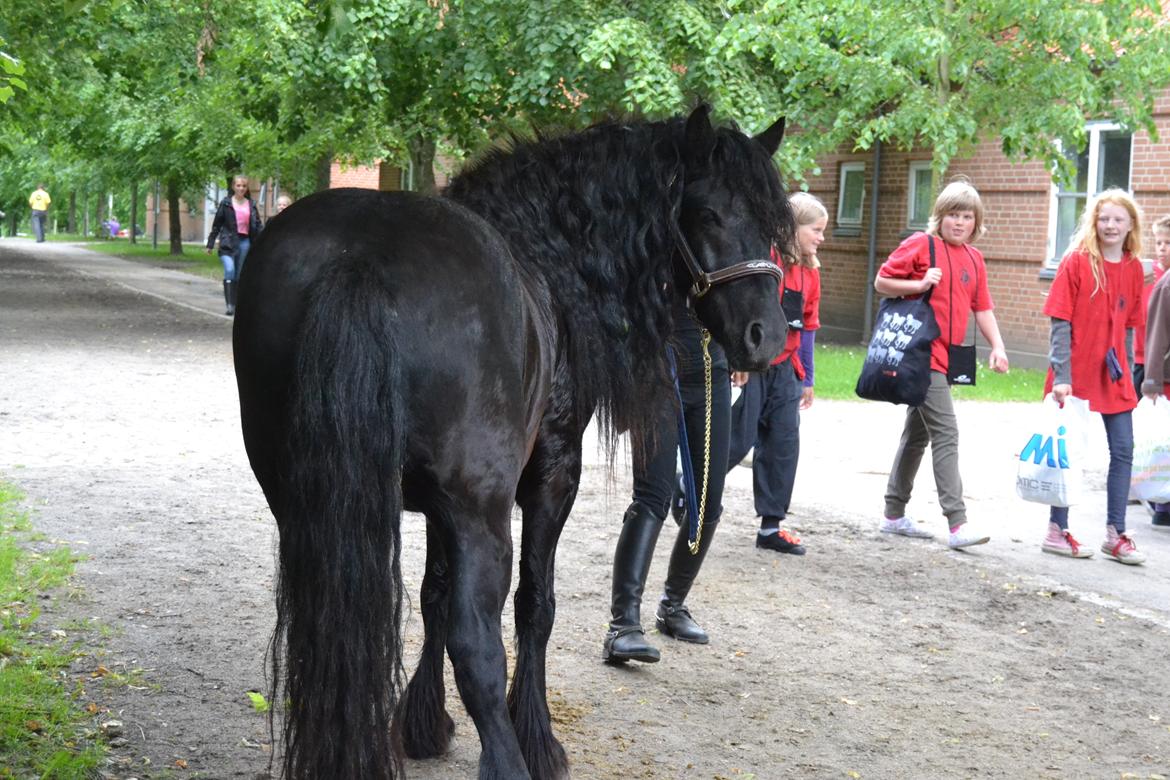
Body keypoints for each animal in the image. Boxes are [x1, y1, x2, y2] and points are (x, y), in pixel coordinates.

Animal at [232, 104, 794, 779]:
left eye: (770, 223)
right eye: (707, 212)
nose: (767, 337)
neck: (546, 256)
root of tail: (359, 256)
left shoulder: (438, 505)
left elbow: (433, 594)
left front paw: (423, 724)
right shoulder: (548, 482)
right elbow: (533, 605)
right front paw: (538, 736)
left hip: (303, 501)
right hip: (482, 511)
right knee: (477, 642)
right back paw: (509, 758)